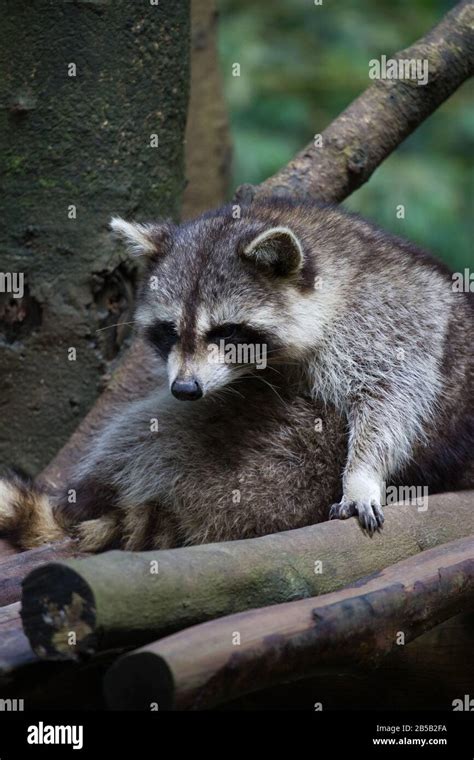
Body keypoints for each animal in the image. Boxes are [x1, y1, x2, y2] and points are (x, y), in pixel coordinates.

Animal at [0, 197, 474, 552]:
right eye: (169, 330)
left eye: (226, 331)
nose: (185, 389)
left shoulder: (386, 316)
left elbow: (391, 395)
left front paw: (362, 477)